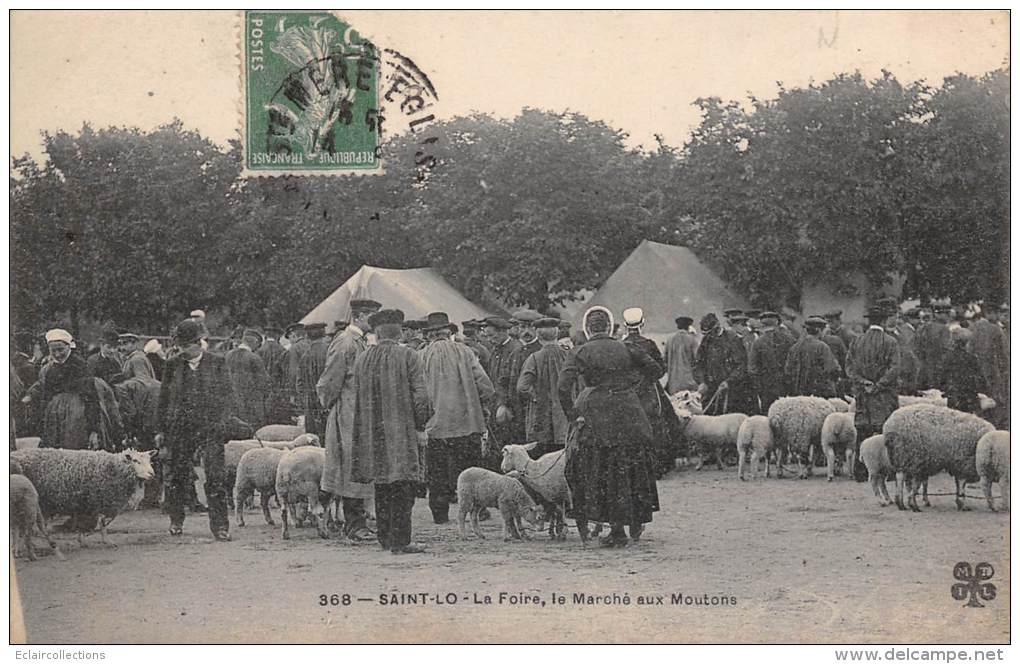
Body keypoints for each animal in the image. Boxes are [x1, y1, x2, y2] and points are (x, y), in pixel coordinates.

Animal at [8, 446, 155, 546]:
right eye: (135, 460)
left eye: (149, 460)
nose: (152, 474)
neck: (113, 468)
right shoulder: (96, 500)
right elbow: (100, 523)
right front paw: (106, 541)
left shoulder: (85, 503)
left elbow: (85, 523)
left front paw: (82, 540)